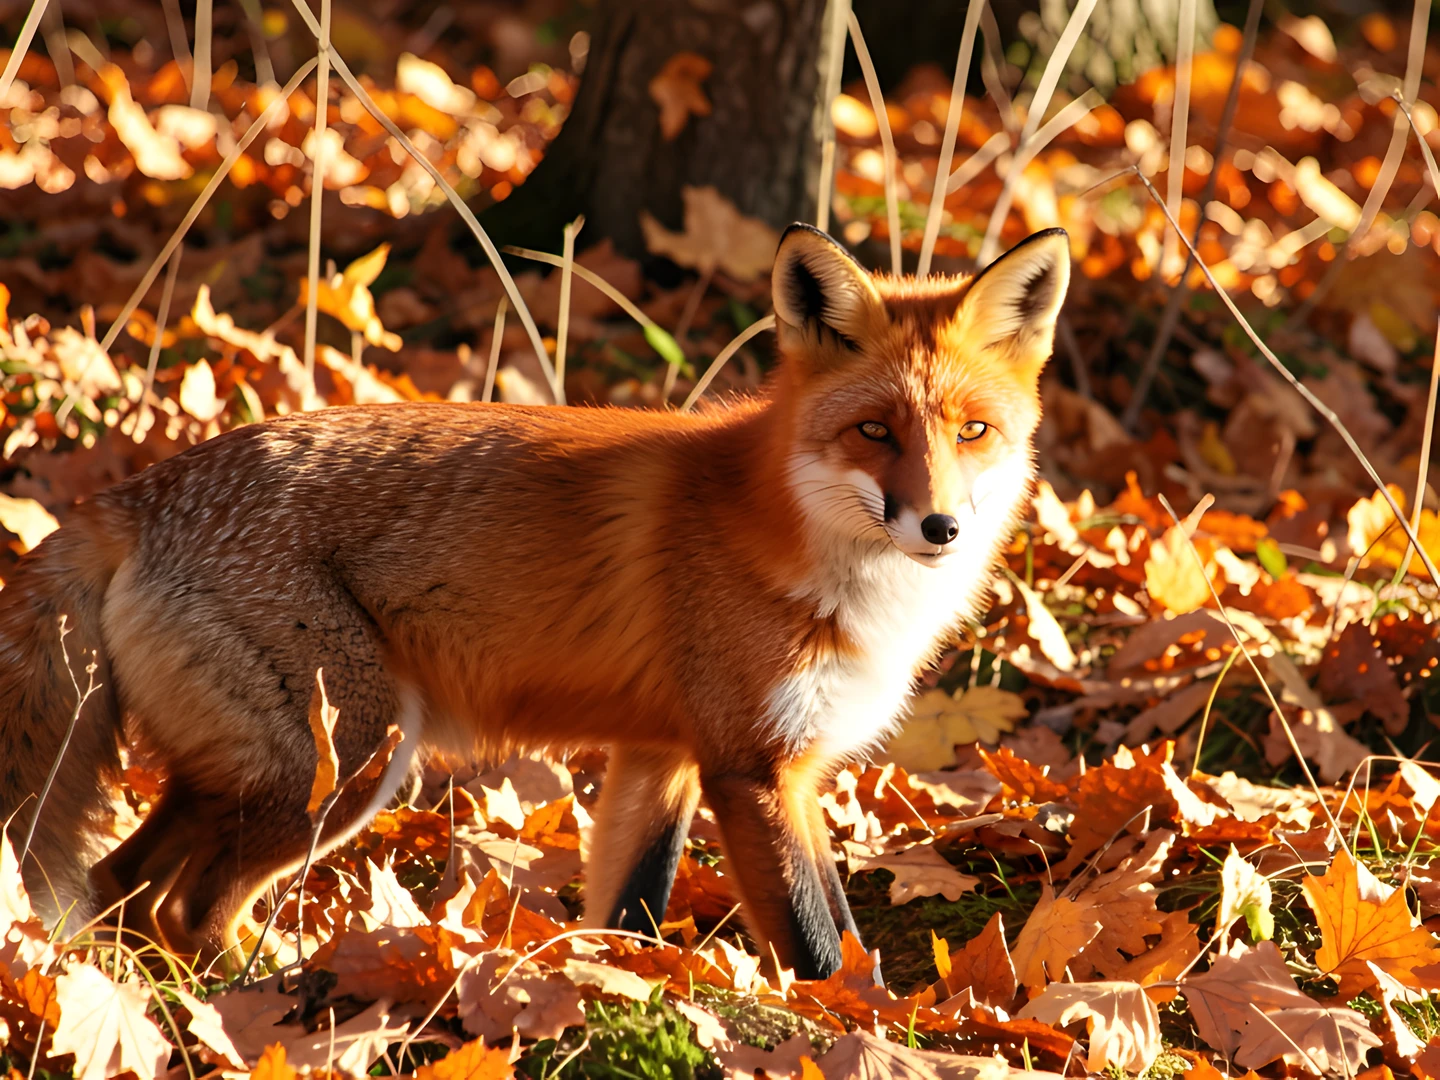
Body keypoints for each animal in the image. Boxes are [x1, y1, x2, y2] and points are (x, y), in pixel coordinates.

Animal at [0, 223, 1068, 980]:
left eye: (972, 431)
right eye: (875, 431)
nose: (941, 527)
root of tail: (138, 494)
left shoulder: (665, 756)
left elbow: (632, 907)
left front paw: (621, 984)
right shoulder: (756, 767)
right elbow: (818, 943)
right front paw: (859, 1028)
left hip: (246, 772)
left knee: (120, 884)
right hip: (351, 760)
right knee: (188, 908)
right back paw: (274, 991)